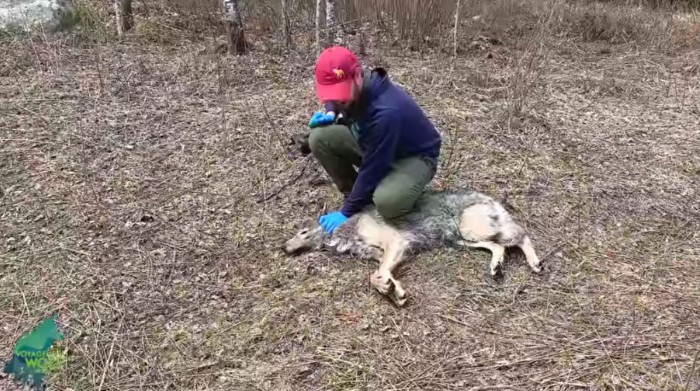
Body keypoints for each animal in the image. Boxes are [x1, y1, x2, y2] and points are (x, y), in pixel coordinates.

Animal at [282, 188, 544, 308]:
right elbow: (378, 275)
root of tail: (489, 198)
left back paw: (535, 263)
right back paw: (496, 267)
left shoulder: (396, 244)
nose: (283, 247)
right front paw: (394, 292)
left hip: (472, 230)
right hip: (462, 240)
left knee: (521, 234)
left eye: (302, 232)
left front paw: (390, 290)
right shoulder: (385, 255)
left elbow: (376, 275)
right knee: (498, 248)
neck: (345, 230)